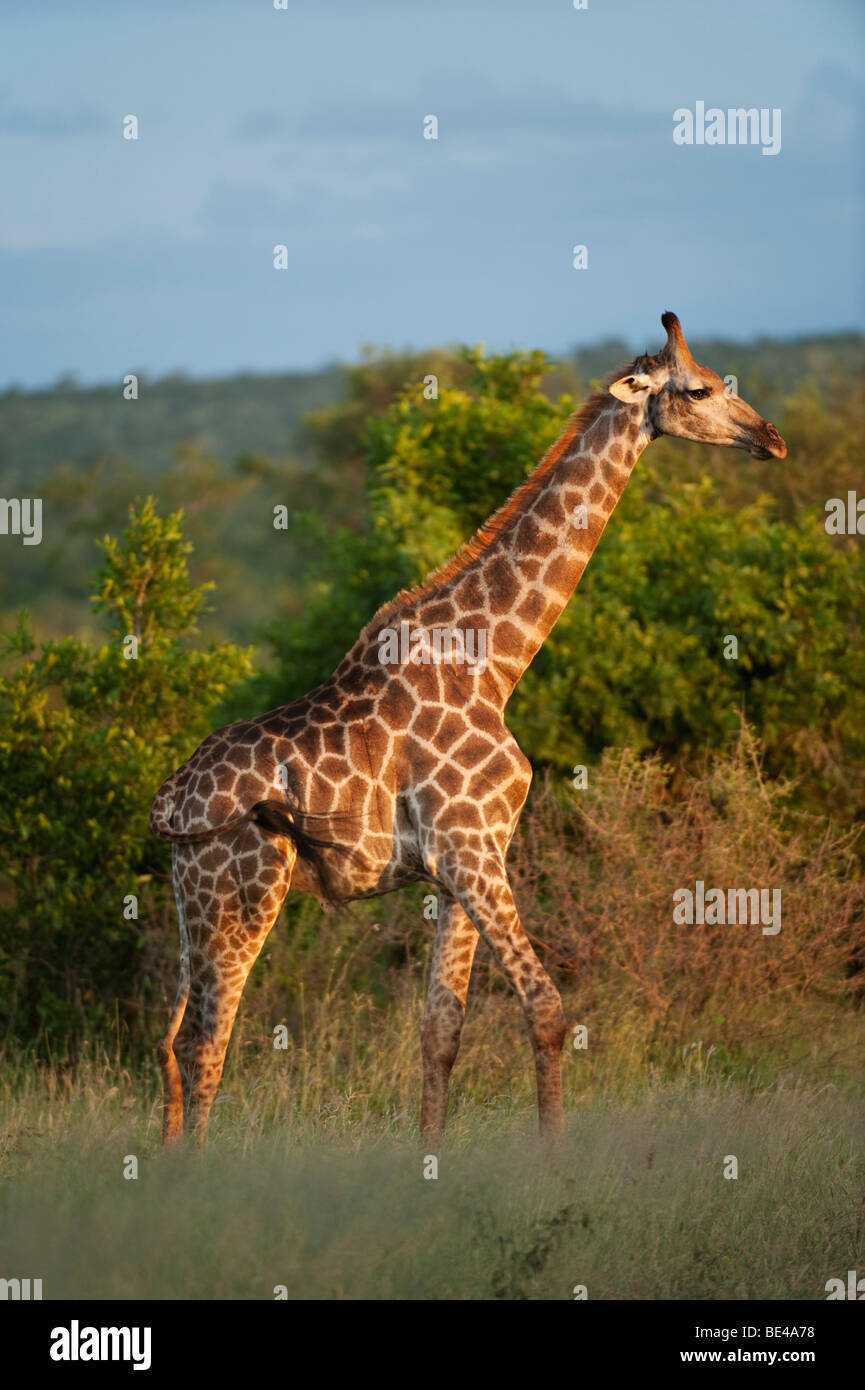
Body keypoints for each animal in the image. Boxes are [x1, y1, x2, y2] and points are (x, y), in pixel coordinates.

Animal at [150, 311, 786, 1148]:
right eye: (698, 389)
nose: (771, 438)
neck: (493, 663)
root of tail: (169, 803)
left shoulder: (456, 869)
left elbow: (439, 1030)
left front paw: (428, 1163)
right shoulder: (474, 849)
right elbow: (545, 1010)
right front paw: (554, 1163)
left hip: (189, 898)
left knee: (169, 1038)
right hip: (243, 886)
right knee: (205, 1039)